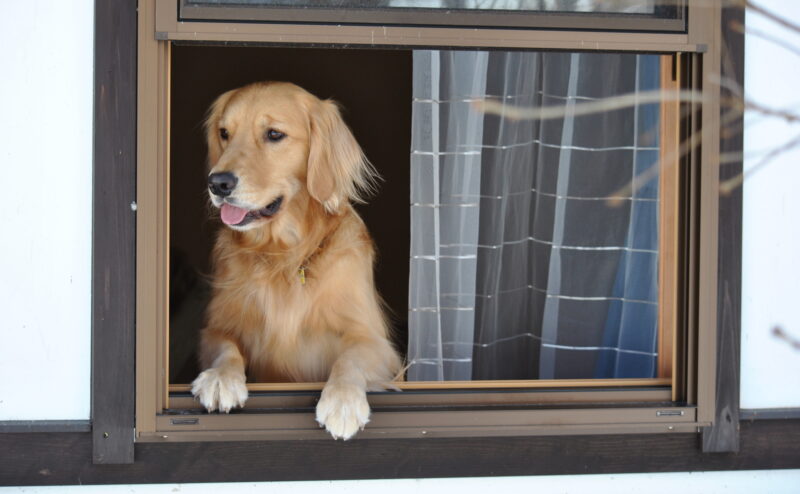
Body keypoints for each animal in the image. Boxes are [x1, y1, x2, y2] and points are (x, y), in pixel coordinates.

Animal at [191, 82, 404, 440]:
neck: (285, 256)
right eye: (224, 133)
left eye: (274, 134)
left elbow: (350, 359)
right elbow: (225, 349)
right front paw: (220, 378)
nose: (217, 183)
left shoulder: (374, 340)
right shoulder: (216, 327)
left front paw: (343, 401)